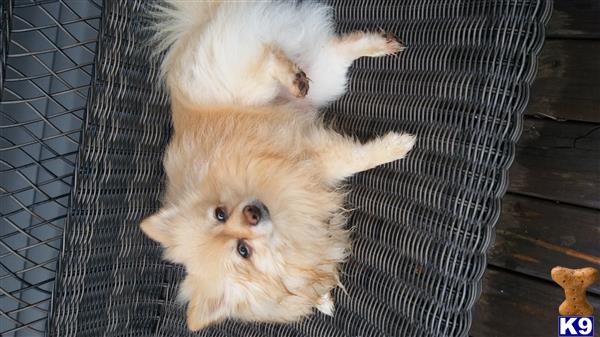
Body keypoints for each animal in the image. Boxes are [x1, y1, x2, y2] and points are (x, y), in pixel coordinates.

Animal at [141, 0, 414, 330]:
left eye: (220, 213)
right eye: (242, 251)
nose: (252, 212)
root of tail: (195, 28)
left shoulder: (312, 158)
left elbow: (357, 159)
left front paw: (398, 145)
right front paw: (323, 299)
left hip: (246, 83)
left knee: (268, 54)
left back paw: (292, 76)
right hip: (325, 77)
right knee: (337, 48)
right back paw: (379, 44)